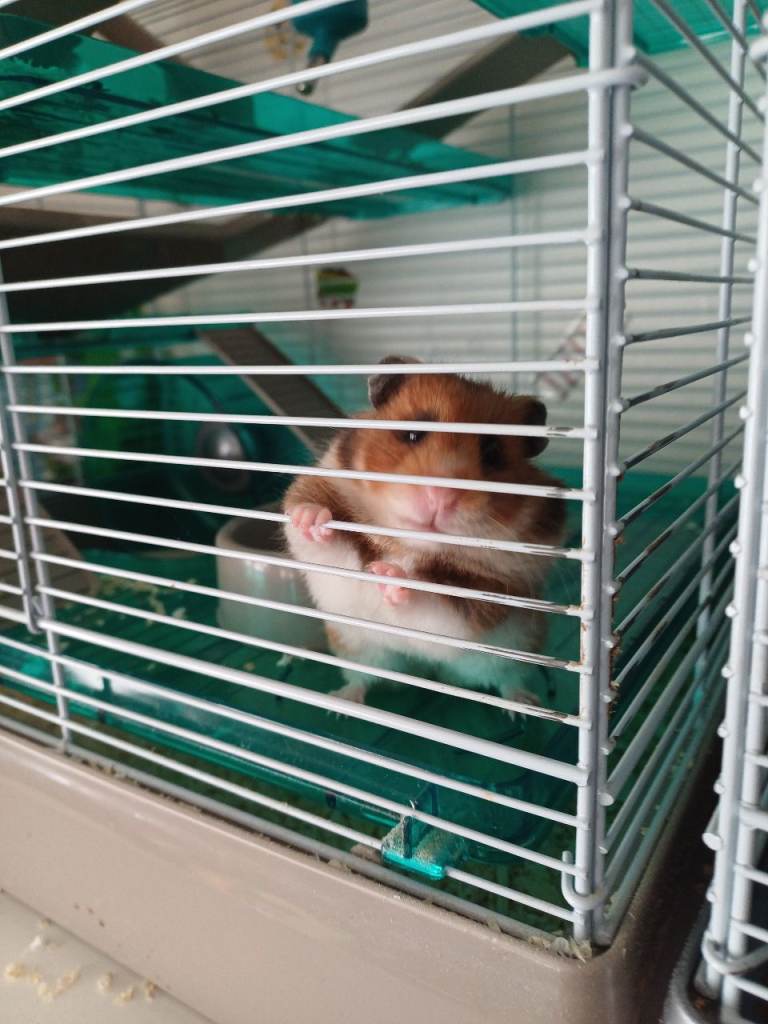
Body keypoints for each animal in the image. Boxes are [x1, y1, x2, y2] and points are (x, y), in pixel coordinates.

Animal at [282, 355, 567, 715]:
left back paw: (522, 707)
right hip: (356, 647)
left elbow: (435, 606)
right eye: (413, 434)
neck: (408, 547)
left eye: (492, 452)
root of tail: (425, 673)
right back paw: (340, 704)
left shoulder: (487, 597)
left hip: (516, 651)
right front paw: (312, 519)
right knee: (361, 679)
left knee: (508, 680)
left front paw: (390, 575)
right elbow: (321, 540)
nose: (441, 497)